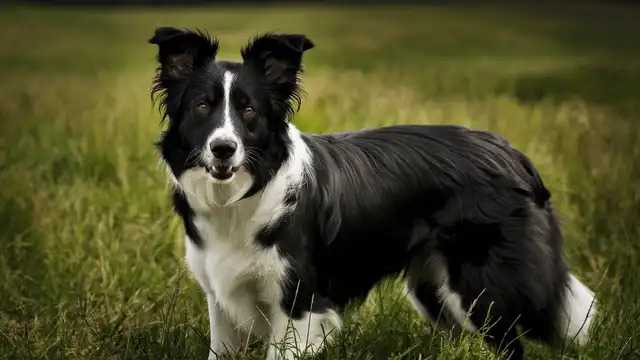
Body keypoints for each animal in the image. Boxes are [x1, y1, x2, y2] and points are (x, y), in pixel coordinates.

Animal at [148, 26, 596, 358]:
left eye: (248, 110)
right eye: (202, 107)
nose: (223, 149)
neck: (240, 197)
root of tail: (512, 152)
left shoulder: (299, 305)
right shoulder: (221, 300)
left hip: (482, 286)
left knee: (512, 344)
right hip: (433, 288)